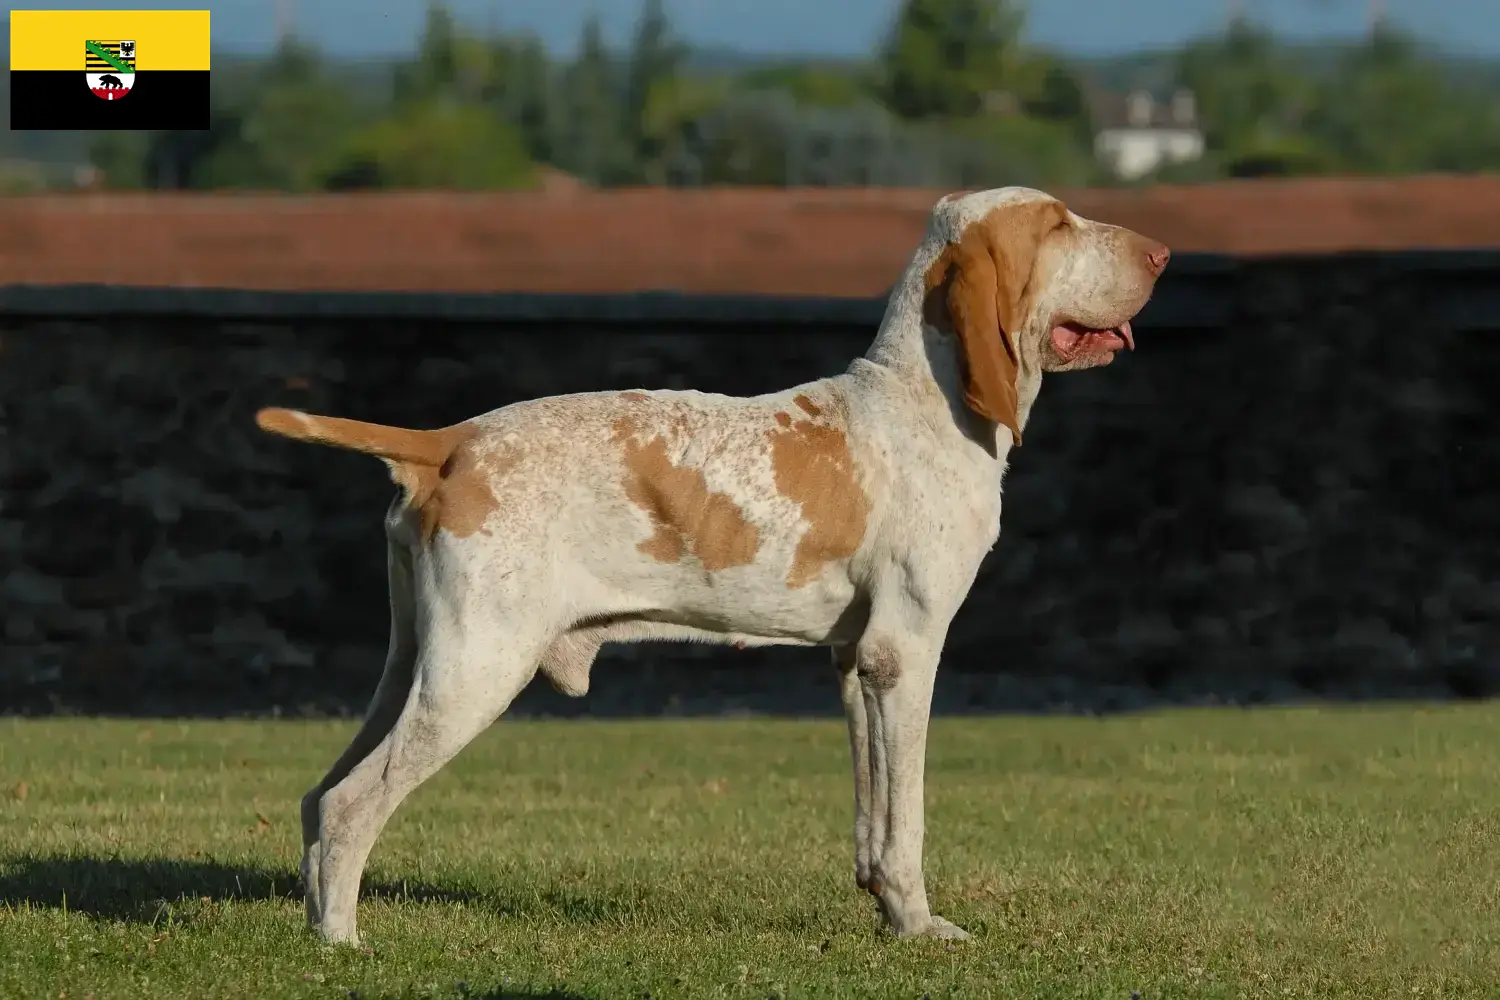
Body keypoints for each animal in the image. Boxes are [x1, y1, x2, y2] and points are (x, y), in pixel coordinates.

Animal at [261, 185, 1170, 947]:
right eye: (1057, 225)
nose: (1162, 253)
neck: (921, 400)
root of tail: (449, 441)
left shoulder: (856, 664)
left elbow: (874, 818)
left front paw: (888, 913)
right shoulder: (906, 653)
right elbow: (906, 819)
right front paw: (919, 928)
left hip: (416, 663)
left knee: (317, 797)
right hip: (476, 671)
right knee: (349, 804)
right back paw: (341, 942)